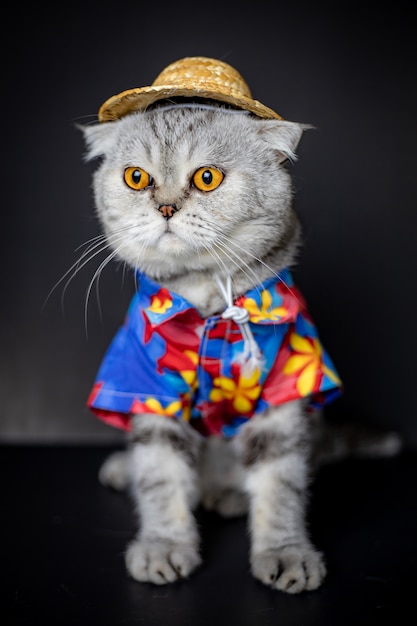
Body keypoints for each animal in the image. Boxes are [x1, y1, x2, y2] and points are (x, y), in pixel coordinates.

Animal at [78, 57, 400, 588]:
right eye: (136, 177)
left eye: (207, 177)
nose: (166, 207)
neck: (208, 303)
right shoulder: (147, 387)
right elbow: (160, 475)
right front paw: (164, 545)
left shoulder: (286, 390)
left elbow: (281, 484)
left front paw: (286, 552)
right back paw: (128, 469)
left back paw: (226, 496)